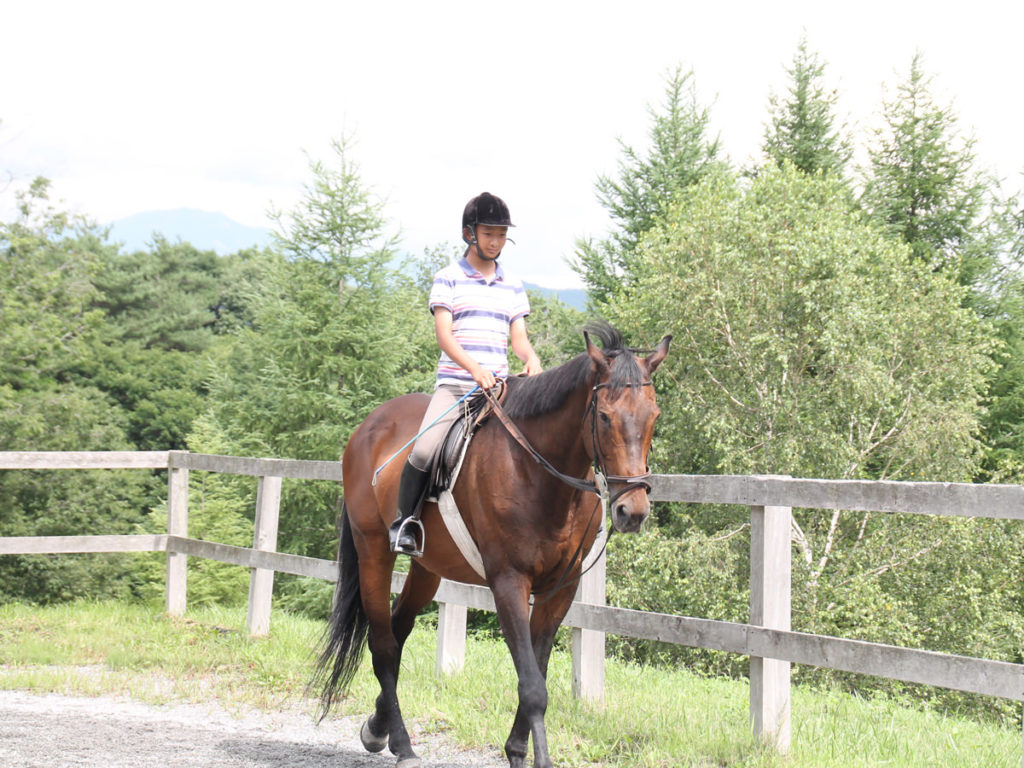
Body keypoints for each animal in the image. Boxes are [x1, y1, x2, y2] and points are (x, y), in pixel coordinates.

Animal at [315, 325, 671, 768]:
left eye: (654, 416)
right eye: (604, 417)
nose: (632, 511)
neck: (540, 473)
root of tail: (368, 426)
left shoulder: (561, 589)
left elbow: (537, 670)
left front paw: (517, 750)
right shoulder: (508, 582)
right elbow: (533, 685)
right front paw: (536, 759)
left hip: (427, 569)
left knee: (397, 634)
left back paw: (377, 729)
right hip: (373, 553)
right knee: (381, 645)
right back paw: (402, 744)